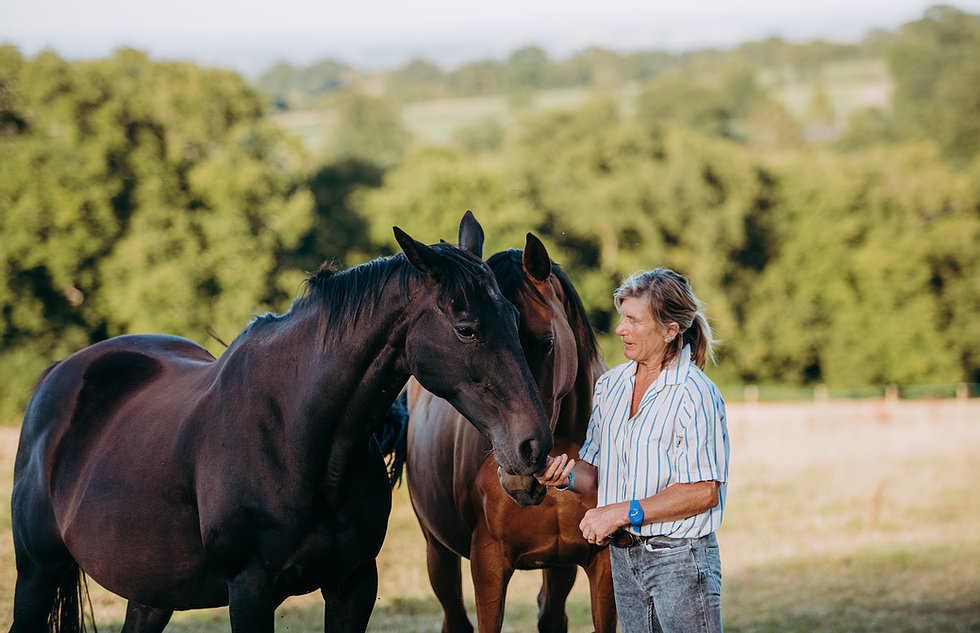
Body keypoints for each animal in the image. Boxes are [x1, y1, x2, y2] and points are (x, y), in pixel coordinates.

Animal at [7, 212, 552, 632]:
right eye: (466, 329)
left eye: (512, 317)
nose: (533, 445)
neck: (299, 437)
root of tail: (59, 373)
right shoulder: (251, 591)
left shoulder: (354, 585)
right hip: (37, 575)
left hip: (151, 594)